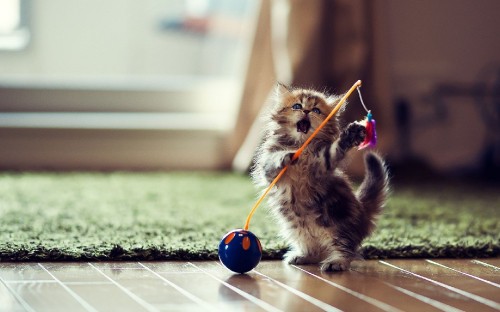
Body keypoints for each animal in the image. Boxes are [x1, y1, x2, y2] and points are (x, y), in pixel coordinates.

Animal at [252, 84, 388, 272]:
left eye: (316, 110)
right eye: (297, 106)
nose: (306, 111)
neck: (302, 145)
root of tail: (362, 211)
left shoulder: (321, 164)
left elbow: (334, 149)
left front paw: (351, 135)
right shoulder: (269, 169)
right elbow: (275, 159)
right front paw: (285, 156)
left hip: (339, 224)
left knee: (346, 249)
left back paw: (336, 262)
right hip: (296, 227)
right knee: (315, 250)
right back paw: (302, 256)